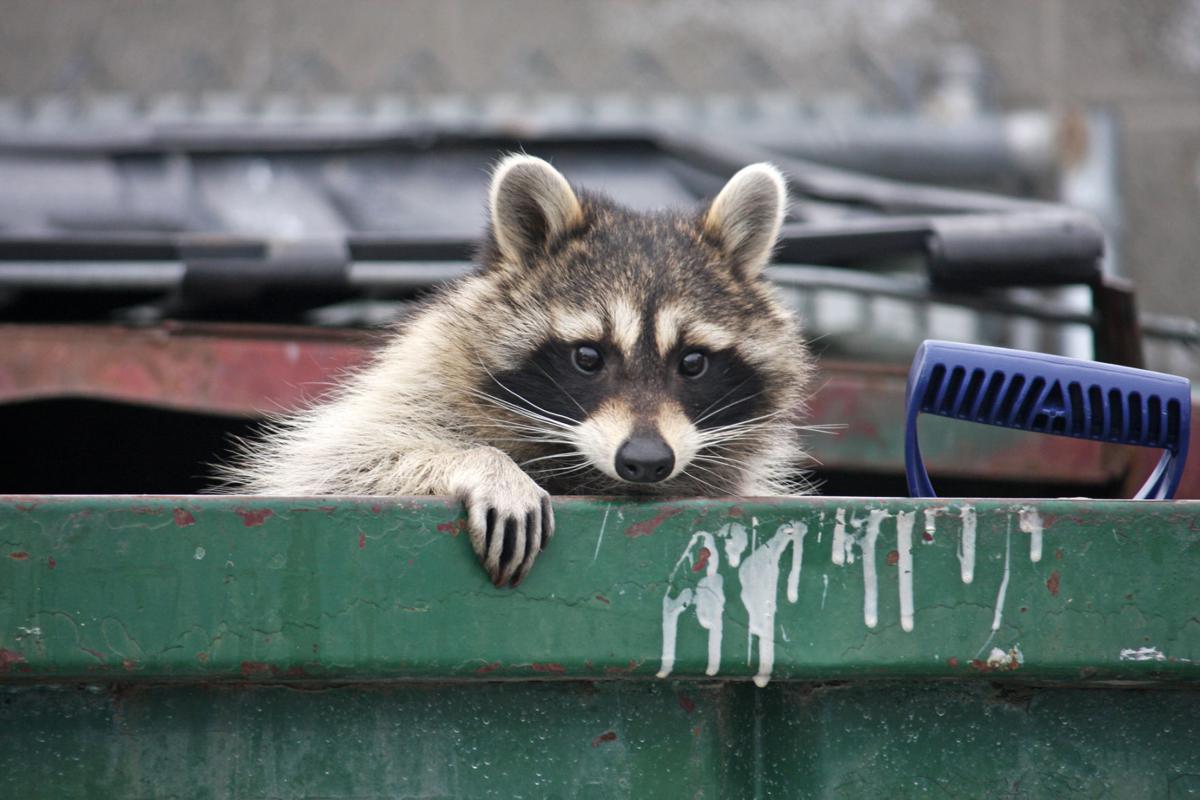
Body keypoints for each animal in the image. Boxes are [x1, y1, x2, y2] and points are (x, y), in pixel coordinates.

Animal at [219, 155, 814, 586]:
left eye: (692, 362)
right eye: (588, 357)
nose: (646, 460)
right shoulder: (413, 384)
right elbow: (337, 465)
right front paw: (482, 463)